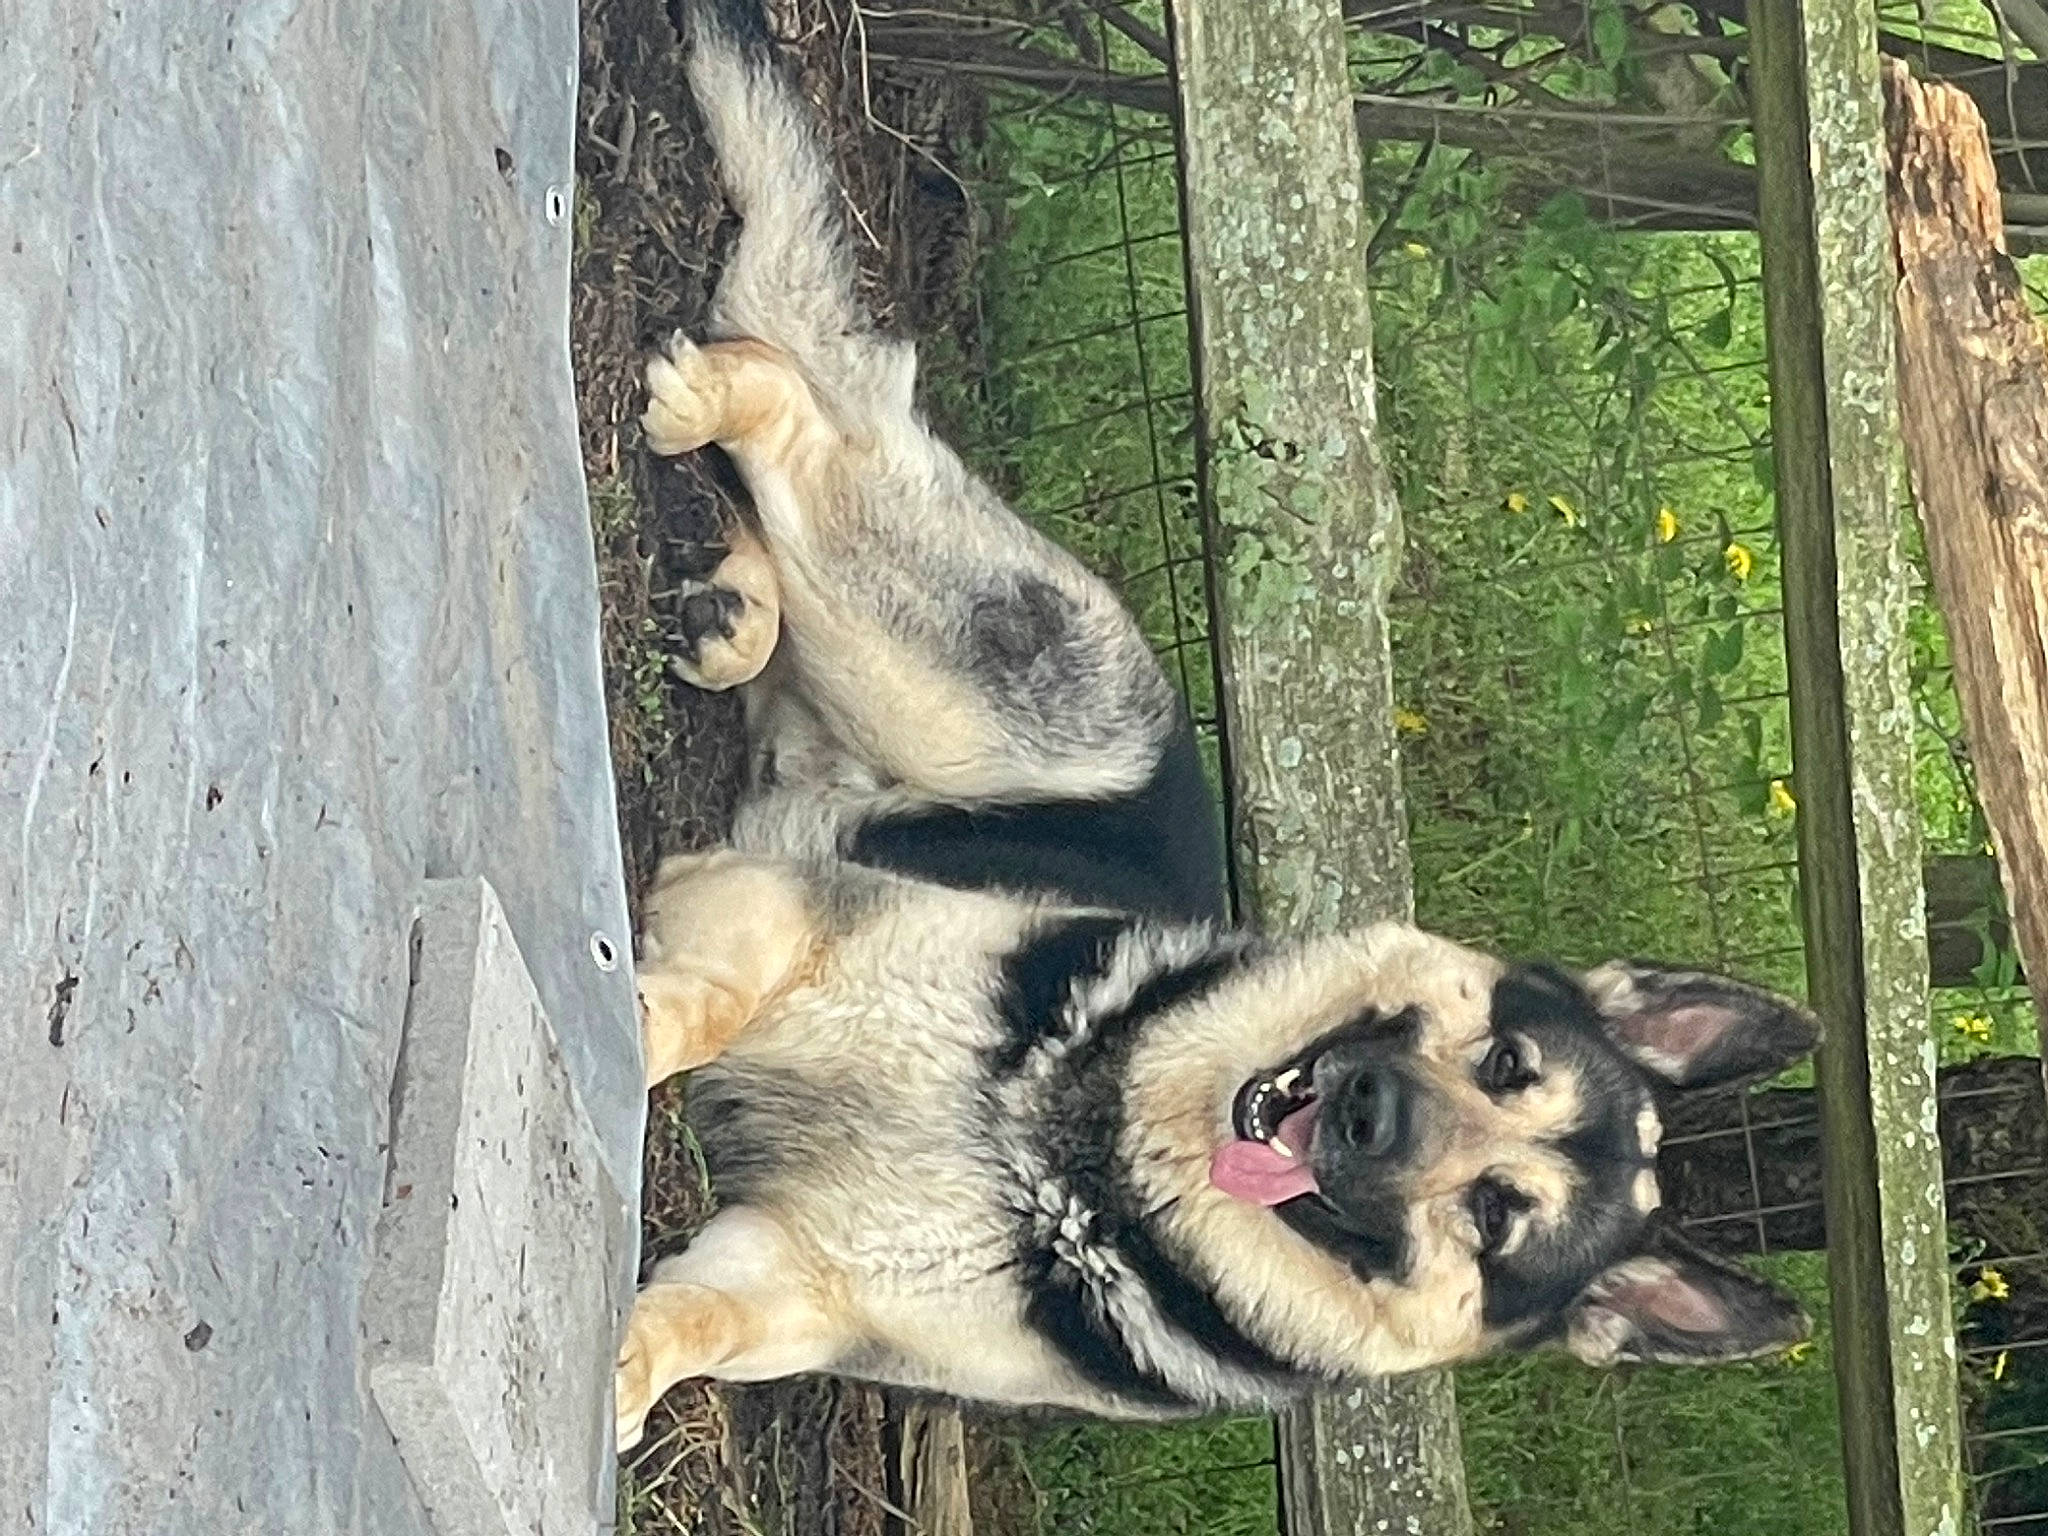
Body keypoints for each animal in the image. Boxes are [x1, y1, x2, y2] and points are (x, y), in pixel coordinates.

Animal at [612, 0, 1816, 1448]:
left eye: (1495, 1216)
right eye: (1504, 1058)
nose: (1366, 1111)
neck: (1092, 1169)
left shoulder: (797, 1273)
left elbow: (694, 1321)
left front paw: (621, 1367)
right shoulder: (789, 925)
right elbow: (700, 1010)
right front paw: (634, 1030)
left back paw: (728, 601)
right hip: (918, 673)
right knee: (807, 410)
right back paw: (719, 432)